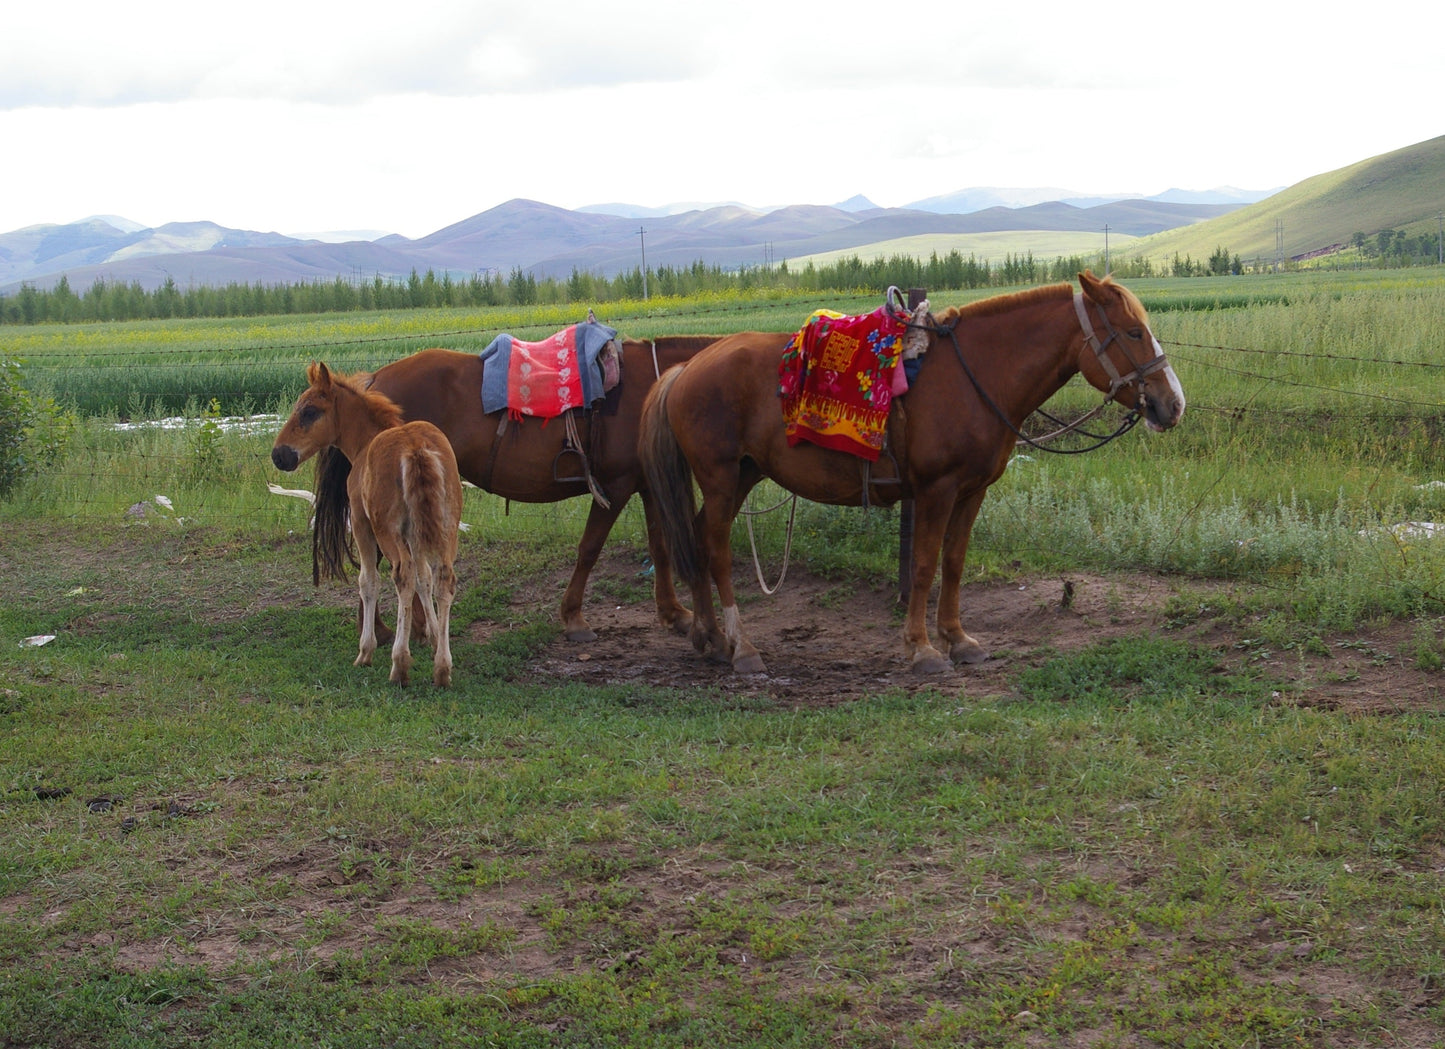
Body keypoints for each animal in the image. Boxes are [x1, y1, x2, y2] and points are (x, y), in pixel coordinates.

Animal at [273, 362, 464, 686]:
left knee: (402, 575)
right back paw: (442, 669)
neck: (365, 443)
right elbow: (424, 579)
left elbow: (368, 581)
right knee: (443, 578)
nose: (279, 455)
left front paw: (366, 650)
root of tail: (415, 449)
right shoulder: (414, 532)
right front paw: (433, 635)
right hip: (446, 526)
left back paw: (399, 665)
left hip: (386, 530)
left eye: (309, 411)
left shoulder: (361, 522)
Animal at [309, 337, 720, 643]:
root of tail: (376, 379)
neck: (652, 384)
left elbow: (660, 546)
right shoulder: (615, 487)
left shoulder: (646, 482)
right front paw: (574, 617)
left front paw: (673, 613)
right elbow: (589, 549)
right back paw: (381, 629)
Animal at [640, 271, 1187, 676]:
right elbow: (923, 565)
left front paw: (959, 639)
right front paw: (922, 648)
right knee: (715, 550)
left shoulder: (972, 491)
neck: (976, 375)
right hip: (720, 477)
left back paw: (710, 639)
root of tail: (687, 368)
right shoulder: (935, 490)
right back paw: (743, 647)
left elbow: (954, 563)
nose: (1172, 404)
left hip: (742, 476)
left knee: (696, 537)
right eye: (1134, 332)